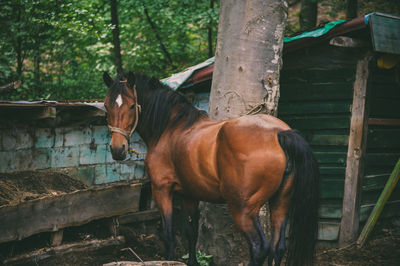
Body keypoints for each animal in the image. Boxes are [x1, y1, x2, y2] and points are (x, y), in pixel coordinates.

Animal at [104, 71, 322, 266]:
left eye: (132, 105)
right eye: (106, 106)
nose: (117, 149)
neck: (172, 128)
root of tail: (278, 133)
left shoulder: (162, 189)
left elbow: (168, 235)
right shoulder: (189, 194)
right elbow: (191, 233)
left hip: (243, 209)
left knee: (260, 248)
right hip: (280, 204)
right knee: (278, 248)